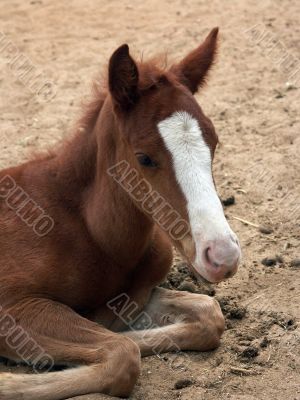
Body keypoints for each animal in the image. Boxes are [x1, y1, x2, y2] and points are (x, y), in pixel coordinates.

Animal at [0, 26, 240, 398]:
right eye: (144, 157)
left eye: (214, 143)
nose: (223, 256)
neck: (90, 233)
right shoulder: (15, 305)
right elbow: (121, 353)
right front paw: (8, 380)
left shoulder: (131, 295)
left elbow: (208, 315)